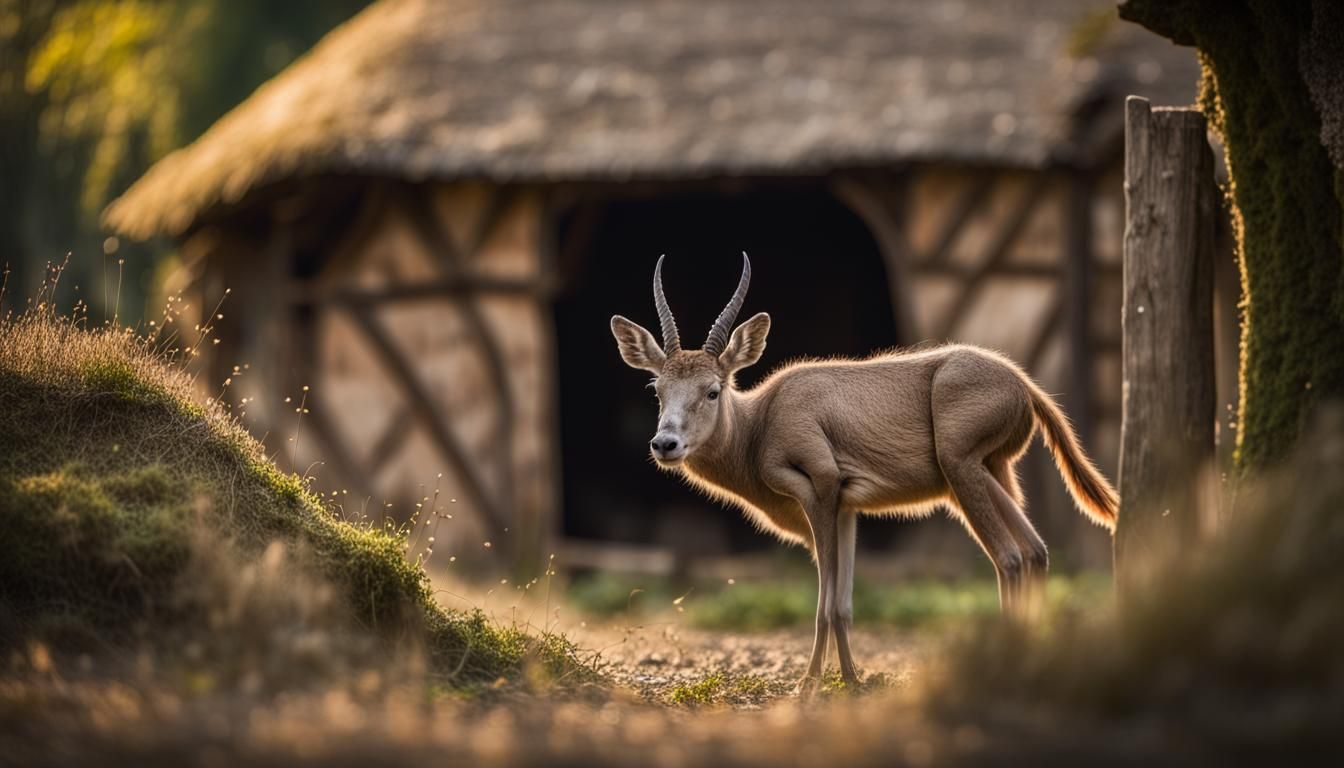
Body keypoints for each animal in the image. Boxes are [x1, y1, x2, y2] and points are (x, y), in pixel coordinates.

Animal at [610, 254, 1112, 699]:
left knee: (1009, 558)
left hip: (961, 469)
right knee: (1034, 551)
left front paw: (809, 684)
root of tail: (1023, 383)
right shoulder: (847, 509)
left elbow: (825, 603)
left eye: (713, 390)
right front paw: (852, 680)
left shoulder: (820, 491)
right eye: (658, 388)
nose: (665, 444)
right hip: (992, 473)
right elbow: (845, 603)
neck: (761, 422)